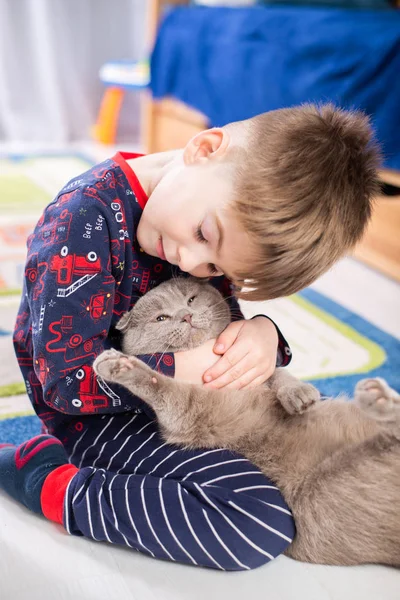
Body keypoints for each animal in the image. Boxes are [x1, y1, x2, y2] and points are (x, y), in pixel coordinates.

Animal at [94, 276, 400, 568]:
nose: (186, 315)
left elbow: (278, 373)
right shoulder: (194, 413)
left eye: (191, 299)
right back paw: (376, 397)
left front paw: (300, 395)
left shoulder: (251, 373)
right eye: (161, 318)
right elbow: (161, 384)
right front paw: (120, 364)